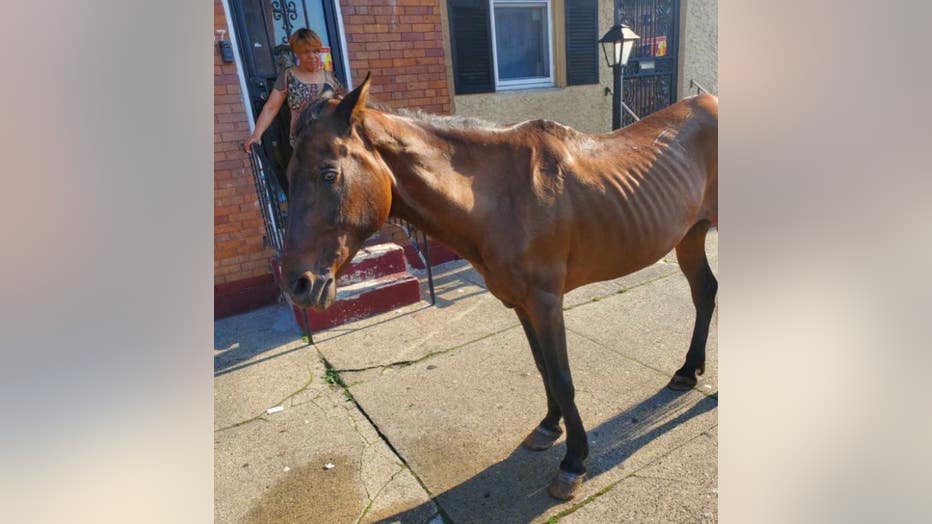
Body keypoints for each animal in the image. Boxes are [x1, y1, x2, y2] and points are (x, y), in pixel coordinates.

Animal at [278, 73, 717, 500]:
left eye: (329, 174)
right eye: (288, 177)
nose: (298, 285)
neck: (500, 197)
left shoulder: (545, 302)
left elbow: (562, 377)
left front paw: (573, 462)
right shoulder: (521, 304)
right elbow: (543, 369)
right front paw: (548, 427)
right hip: (690, 236)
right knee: (705, 293)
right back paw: (687, 372)